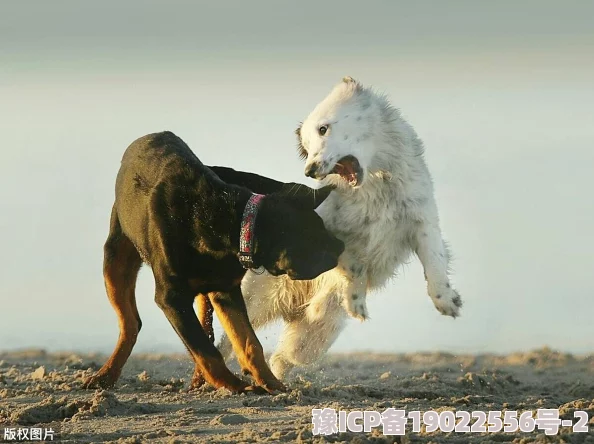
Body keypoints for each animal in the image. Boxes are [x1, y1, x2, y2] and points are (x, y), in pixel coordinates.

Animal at [82, 131, 342, 392]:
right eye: (314, 240)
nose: (341, 246)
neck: (222, 218)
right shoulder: (172, 297)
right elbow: (206, 352)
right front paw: (236, 386)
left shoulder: (226, 290)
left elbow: (248, 342)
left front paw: (271, 384)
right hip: (116, 258)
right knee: (130, 323)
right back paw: (105, 375)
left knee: (204, 323)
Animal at [217, 77, 462, 378]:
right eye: (307, 146)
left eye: (324, 129)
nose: (309, 170)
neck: (377, 184)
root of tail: (292, 309)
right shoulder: (333, 233)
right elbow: (353, 266)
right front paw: (356, 301)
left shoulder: (422, 222)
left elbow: (435, 263)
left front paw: (446, 301)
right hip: (258, 300)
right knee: (231, 339)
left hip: (312, 341)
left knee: (284, 357)